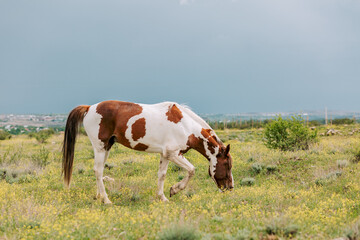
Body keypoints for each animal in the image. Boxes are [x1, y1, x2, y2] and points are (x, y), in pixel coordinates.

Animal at [62, 100, 233, 203]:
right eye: (227, 165)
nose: (230, 187)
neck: (185, 126)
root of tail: (89, 108)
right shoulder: (174, 154)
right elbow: (191, 170)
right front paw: (175, 189)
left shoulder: (165, 154)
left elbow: (161, 175)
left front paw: (163, 197)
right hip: (100, 147)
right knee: (98, 171)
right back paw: (106, 200)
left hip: (107, 148)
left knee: (99, 171)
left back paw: (99, 196)